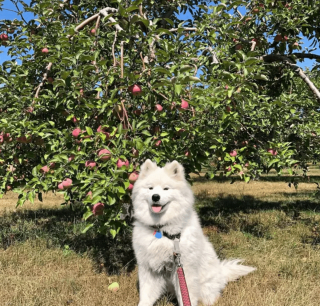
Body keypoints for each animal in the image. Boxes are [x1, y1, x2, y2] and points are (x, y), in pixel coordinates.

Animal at [131, 160, 256, 306]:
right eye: (150, 188)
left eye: (166, 189)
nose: (155, 197)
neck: (162, 230)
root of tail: (221, 272)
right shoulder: (148, 267)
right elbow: (146, 294)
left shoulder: (185, 268)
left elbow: (186, 294)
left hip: (206, 287)